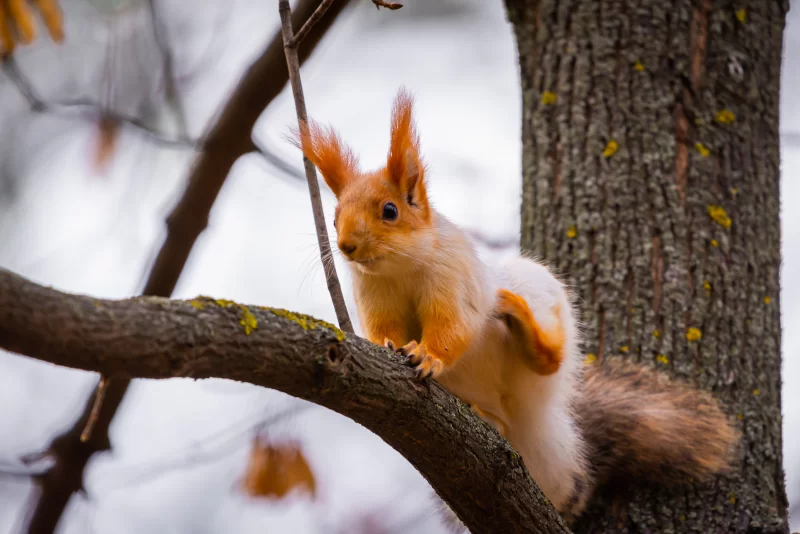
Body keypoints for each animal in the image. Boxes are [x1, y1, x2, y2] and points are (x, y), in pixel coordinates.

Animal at [292, 88, 740, 522]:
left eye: (390, 210)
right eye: (335, 215)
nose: (346, 246)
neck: (400, 269)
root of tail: (529, 427)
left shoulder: (453, 281)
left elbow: (454, 326)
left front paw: (429, 356)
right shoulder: (374, 295)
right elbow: (384, 328)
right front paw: (386, 345)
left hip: (538, 310)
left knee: (549, 362)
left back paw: (521, 322)